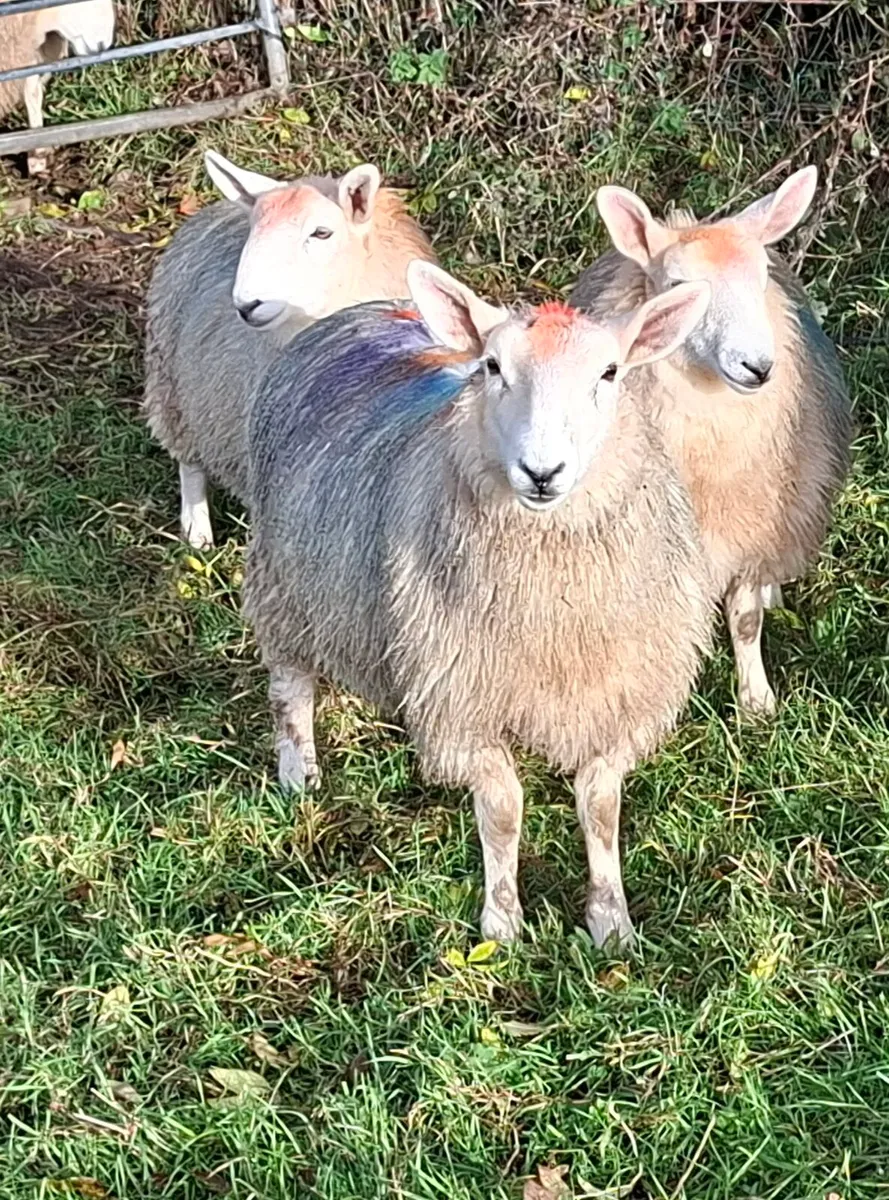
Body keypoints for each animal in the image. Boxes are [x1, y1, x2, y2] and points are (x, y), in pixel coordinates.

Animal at [143, 150, 437, 549]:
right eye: (254, 228)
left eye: (321, 232)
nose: (247, 304)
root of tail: (209, 210)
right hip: (172, 391)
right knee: (189, 464)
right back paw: (197, 532)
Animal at [243, 260, 716, 947]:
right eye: (493, 366)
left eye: (609, 372)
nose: (542, 472)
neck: (552, 610)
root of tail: (361, 310)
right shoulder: (467, 698)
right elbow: (502, 810)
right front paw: (503, 923)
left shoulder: (614, 699)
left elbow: (600, 808)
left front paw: (611, 922)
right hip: (282, 584)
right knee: (290, 687)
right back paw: (298, 775)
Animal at [570, 166, 852, 716]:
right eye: (678, 286)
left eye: (761, 277)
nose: (757, 366)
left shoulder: (752, 529)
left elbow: (745, 619)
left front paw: (756, 704)